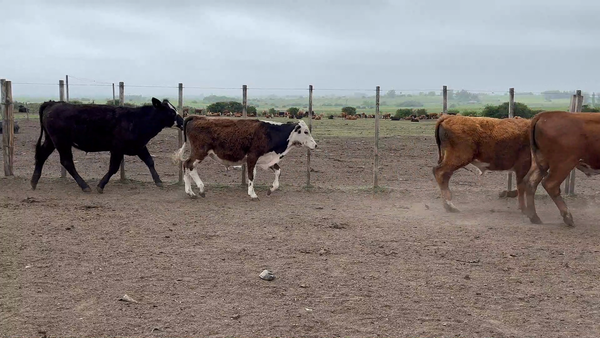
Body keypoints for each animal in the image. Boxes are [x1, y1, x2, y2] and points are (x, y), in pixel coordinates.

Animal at [30, 97, 184, 193]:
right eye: (171, 112)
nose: (182, 122)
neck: (136, 120)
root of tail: (52, 103)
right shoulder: (117, 149)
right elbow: (113, 168)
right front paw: (101, 185)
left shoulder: (139, 146)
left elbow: (150, 161)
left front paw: (159, 182)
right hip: (62, 142)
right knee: (67, 162)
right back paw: (85, 186)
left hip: (51, 141)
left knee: (41, 156)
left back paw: (34, 182)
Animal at [171, 117, 316, 199]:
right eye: (306, 131)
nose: (315, 144)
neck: (269, 132)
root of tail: (196, 118)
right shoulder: (252, 157)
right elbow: (251, 176)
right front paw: (252, 194)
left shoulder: (267, 159)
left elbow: (278, 171)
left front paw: (271, 189)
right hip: (200, 152)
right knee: (189, 165)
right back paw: (200, 189)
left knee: (186, 166)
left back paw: (190, 192)